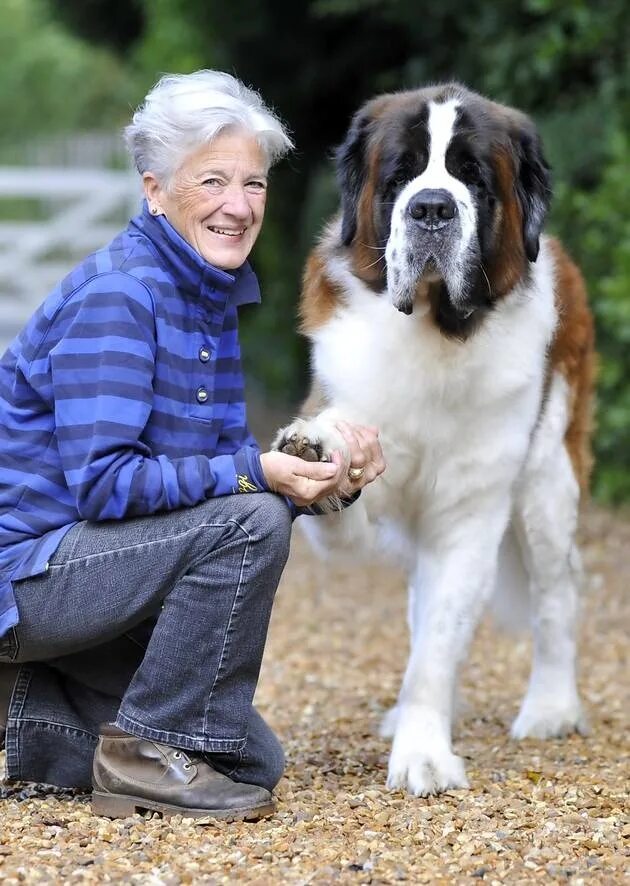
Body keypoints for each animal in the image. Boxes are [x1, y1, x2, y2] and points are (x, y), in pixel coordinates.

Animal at [272, 85, 596, 796]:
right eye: (400, 177)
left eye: (472, 178)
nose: (431, 208)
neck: (432, 332)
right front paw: (320, 451)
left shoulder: (471, 515)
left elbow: (440, 645)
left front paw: (423, 752)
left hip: (548, 481)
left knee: (556, 595)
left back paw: (552, 707)